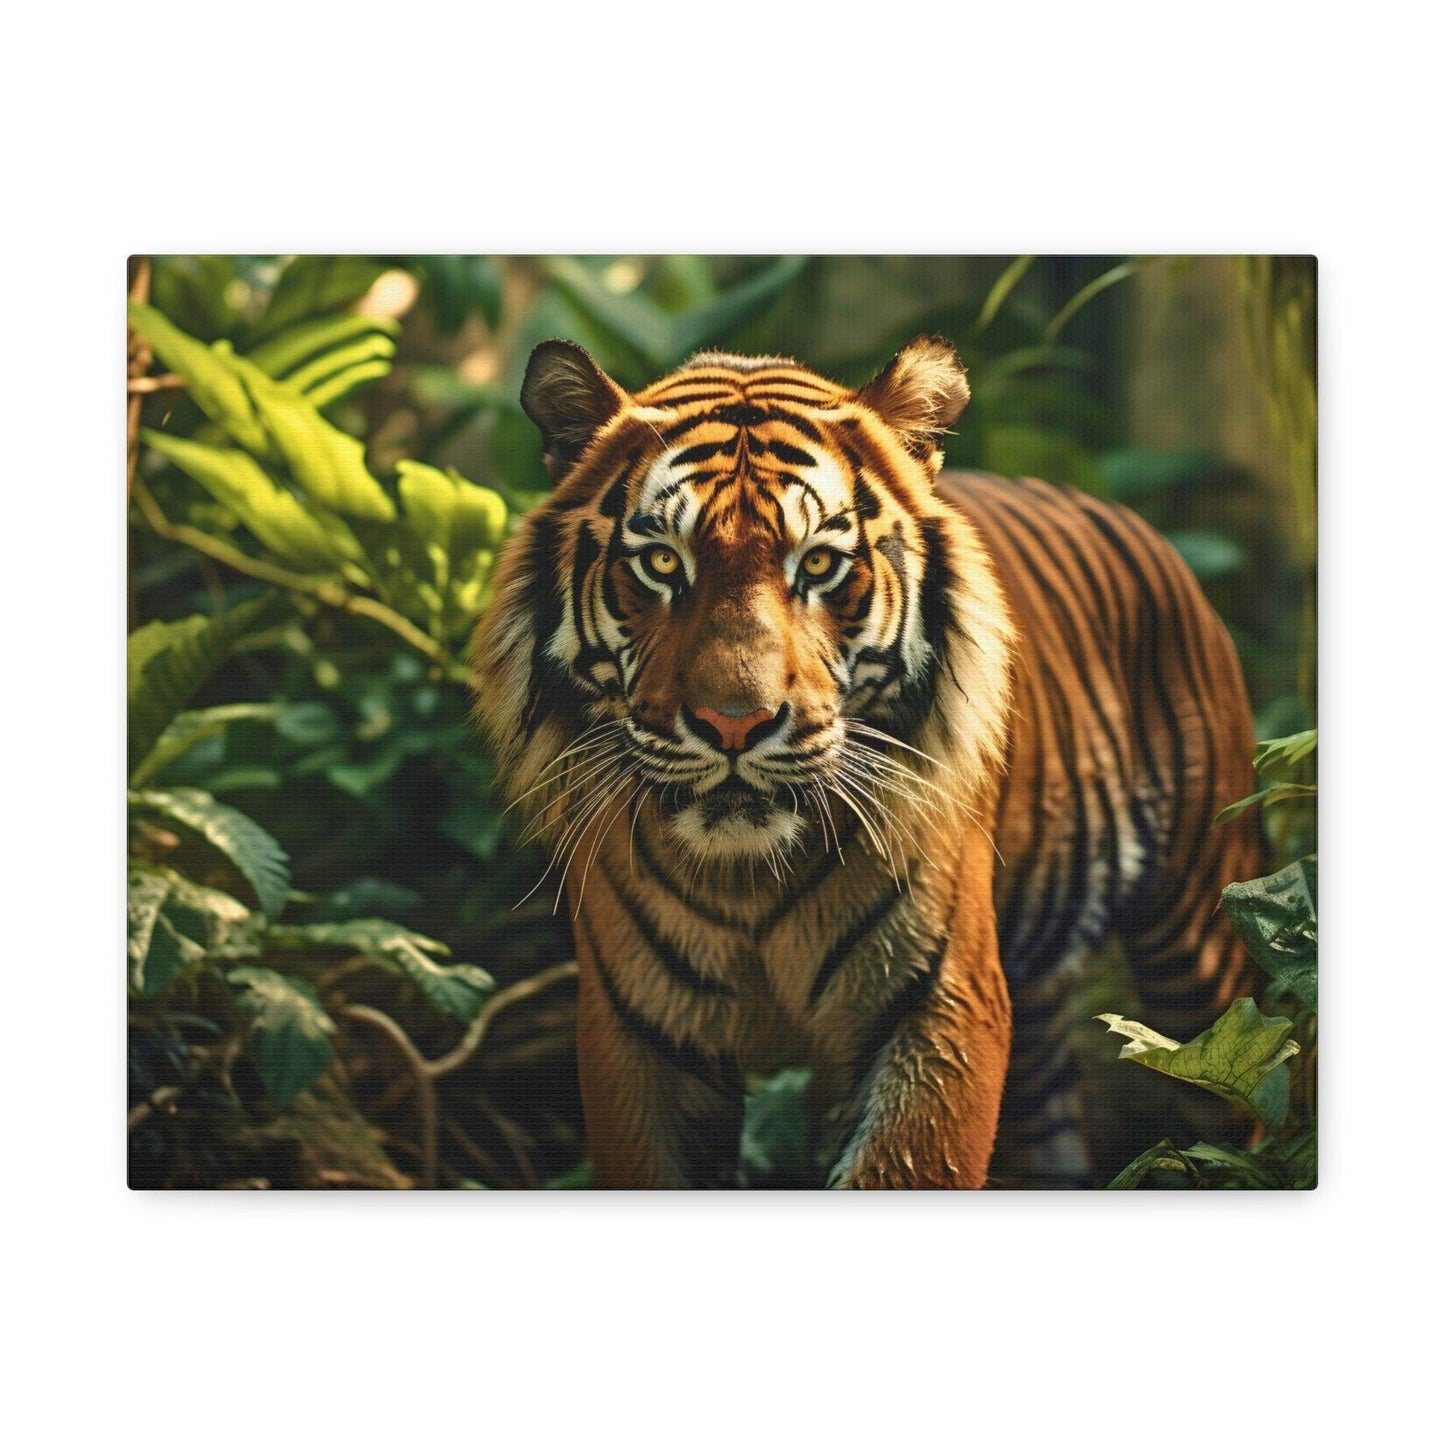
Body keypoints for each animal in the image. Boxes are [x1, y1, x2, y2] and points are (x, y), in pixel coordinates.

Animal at [471, 334, 1263, 1188]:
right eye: (659, 562)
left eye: (818, 565)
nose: (733, 722)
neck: (748, 881)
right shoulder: (638, 1033)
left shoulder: (939, 1005)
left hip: (1203, 940)